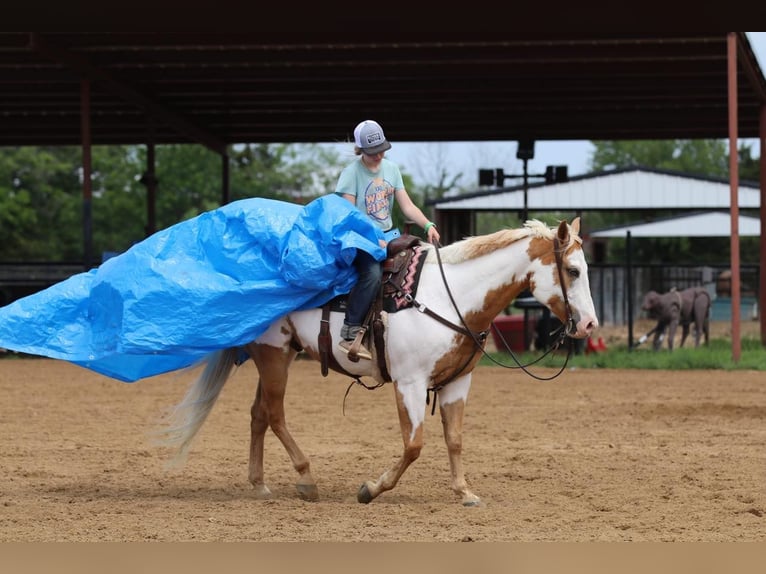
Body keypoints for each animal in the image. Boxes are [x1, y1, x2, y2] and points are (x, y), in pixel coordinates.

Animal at [156, 218, 600, 506]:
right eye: (572, 270)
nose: (590, 324)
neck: (451, 298)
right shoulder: (410, 383)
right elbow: (414, 445)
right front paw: (370, 489)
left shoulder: (458, 383)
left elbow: (454, 439)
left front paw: (464, 492)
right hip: (274, 355)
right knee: (275, 415)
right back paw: (306, 479)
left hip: (278, 356)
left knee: (258, 415)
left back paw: (260, 485)